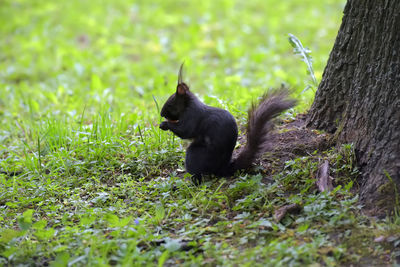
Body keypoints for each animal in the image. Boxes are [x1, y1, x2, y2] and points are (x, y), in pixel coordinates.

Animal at [160, 63, 296, 183]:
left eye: (170, 104)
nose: (161, 114)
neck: (189, 105)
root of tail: (223, 168)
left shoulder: (192, 116)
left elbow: (185, 131)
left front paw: (164, 124)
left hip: (194, 155)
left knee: (198, 174)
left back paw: (194, 181)